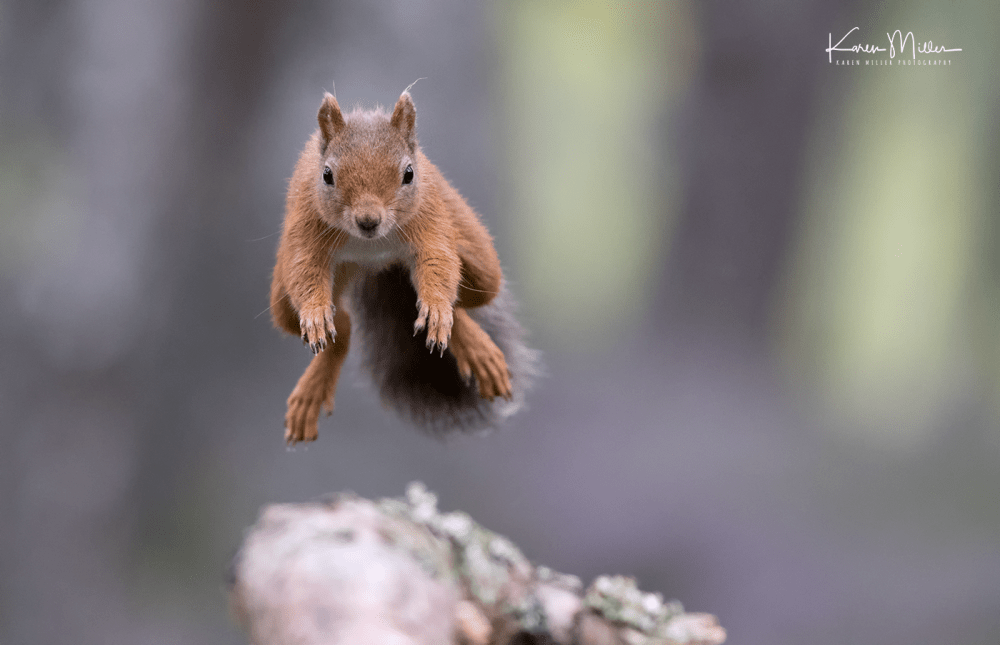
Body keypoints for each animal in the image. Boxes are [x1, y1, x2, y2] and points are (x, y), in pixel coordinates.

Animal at [269, 90, 539, 443]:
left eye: (409, 174)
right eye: (327, 175)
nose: (368, 221)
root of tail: (374, 265)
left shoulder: (428, 216)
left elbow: (439, 259)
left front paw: (437, 309)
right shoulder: (306, 223)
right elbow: (305, 269)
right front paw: (315, 314)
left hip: (482, 264)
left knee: (466, 295)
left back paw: (471, 343)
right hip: (284, 304)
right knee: (340, 326)